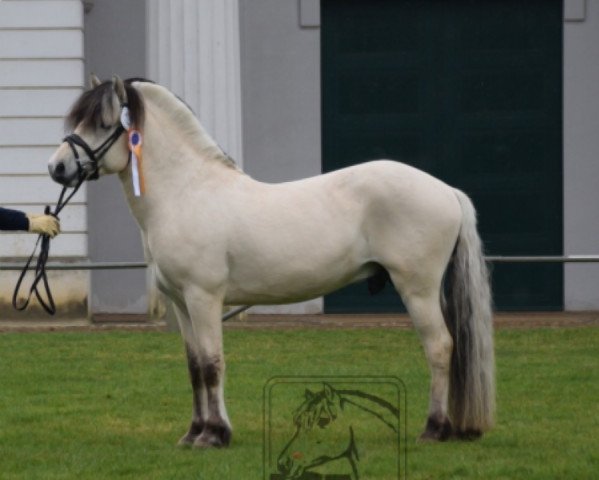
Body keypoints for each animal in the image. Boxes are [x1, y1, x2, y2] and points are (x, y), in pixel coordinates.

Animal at [48, 77, 496, 448]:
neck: (188, 193)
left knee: (439, 347)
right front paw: (193, 433)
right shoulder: (180, 303)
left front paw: (215, 435)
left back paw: (434, 429)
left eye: (103, 123)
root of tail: (446, 190)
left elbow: (212, 364)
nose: (56, 167)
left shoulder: (204, 298)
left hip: (417, 289)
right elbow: (194, 367)